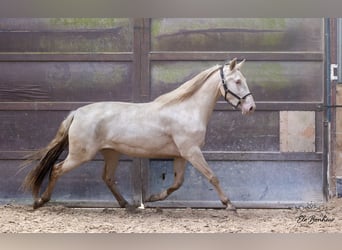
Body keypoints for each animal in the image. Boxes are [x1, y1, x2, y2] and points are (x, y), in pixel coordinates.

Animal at [21, 57, 255, 210]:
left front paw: (151, 198)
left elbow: (177, 183)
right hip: (81, 155)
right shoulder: (192, 152)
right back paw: (39, 202)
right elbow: (212, 176)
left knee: (107, 177)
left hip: (111, 153)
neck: (186, 109)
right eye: (237, 81)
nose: (250, 107)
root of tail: (77, 113)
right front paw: (229, 204)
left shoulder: (181, 155)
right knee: (56, 170)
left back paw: (126, 204)